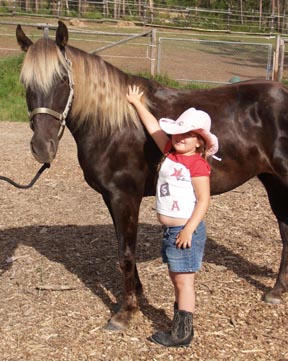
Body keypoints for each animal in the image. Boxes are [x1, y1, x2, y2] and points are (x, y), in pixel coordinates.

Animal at [16, 19, 288, 330]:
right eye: (26, 83)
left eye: (63, 79)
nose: (42, 147)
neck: (115, 123)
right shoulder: (112, 198)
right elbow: (123, 247)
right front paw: (137, 294)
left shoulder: (124, 197)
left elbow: (125, 253)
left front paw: (125, 311)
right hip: (273, 182)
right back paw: (277, 290)